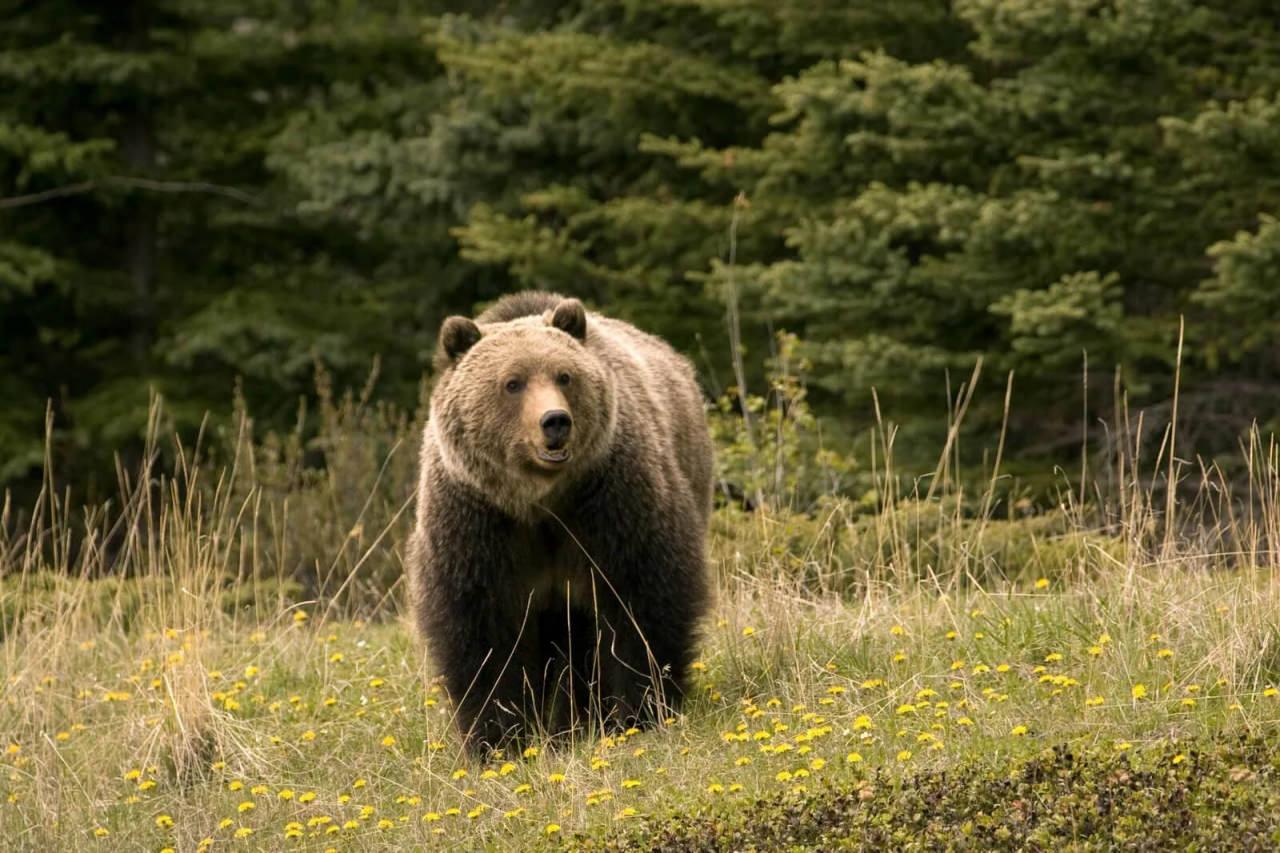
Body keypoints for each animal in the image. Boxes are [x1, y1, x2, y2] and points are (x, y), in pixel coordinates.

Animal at [407, 289, 716, 747]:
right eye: (512, 382)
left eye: (564, 376)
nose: (555, 421)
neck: (540, 501)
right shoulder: (478, 522)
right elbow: (482, 632)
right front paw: (500, 736)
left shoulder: (609, 503)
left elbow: (641, 603)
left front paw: (638, 711)